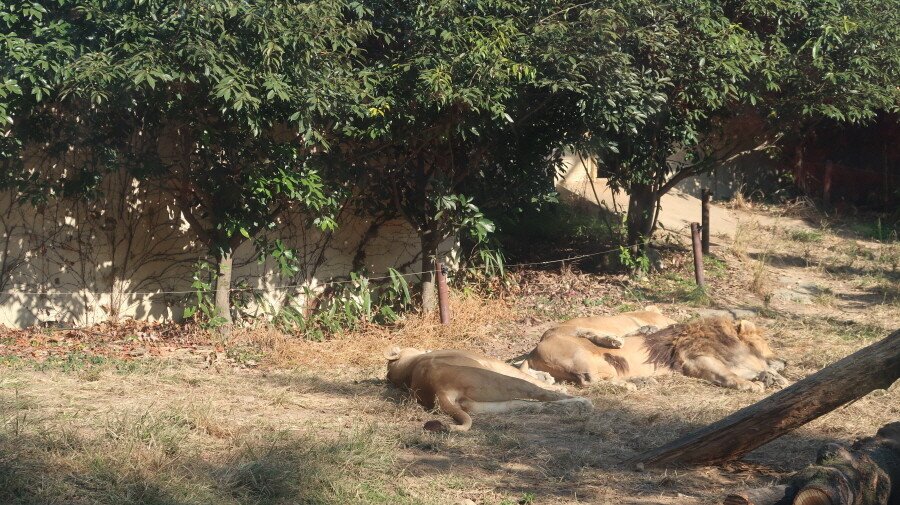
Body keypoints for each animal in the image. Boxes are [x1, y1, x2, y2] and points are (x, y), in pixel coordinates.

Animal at [384, 346, 592, 434]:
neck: (408, 367)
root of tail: (437, 391)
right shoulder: (494, 364)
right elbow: (523, 372)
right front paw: (551, 380)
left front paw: (546, 376)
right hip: (496, 379)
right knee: (535, 391)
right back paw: (582, 403)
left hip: (485, 402)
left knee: (531, 405)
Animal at [524, 314, 792, 392]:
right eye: (767, 341)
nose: (786, 361)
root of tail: (533, 352)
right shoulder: (694, 359)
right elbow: (728, 374)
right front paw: (753, 385)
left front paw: (774, 378)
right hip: (575, 349)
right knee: (588, 380)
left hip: (604, 366)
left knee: (593, 379)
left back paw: (640, 380)